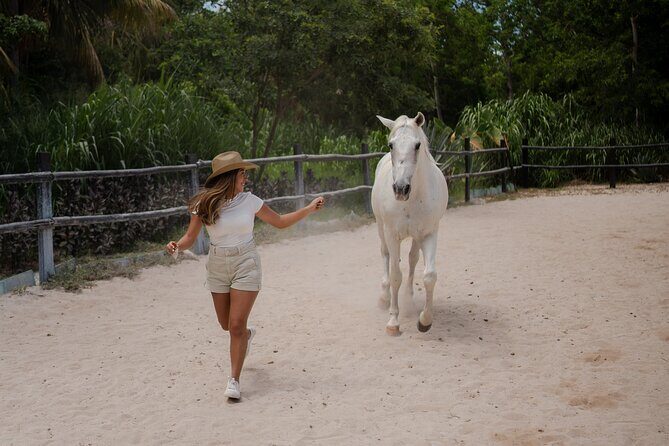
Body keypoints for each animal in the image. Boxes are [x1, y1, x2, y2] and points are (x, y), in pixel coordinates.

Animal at [371, 112, 449, 335]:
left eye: (417, 145)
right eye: (391, 145)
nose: (400, 189)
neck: (412, 199)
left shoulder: (429, 234)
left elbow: (429, 276)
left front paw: (424, 321)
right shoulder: (391, 234)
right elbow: (396, 274)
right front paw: (393, 322)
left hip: (416, 237)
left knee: (413, 259)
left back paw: (409, 300)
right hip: (381, 229)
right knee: (386, 256)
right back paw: (384, 297)